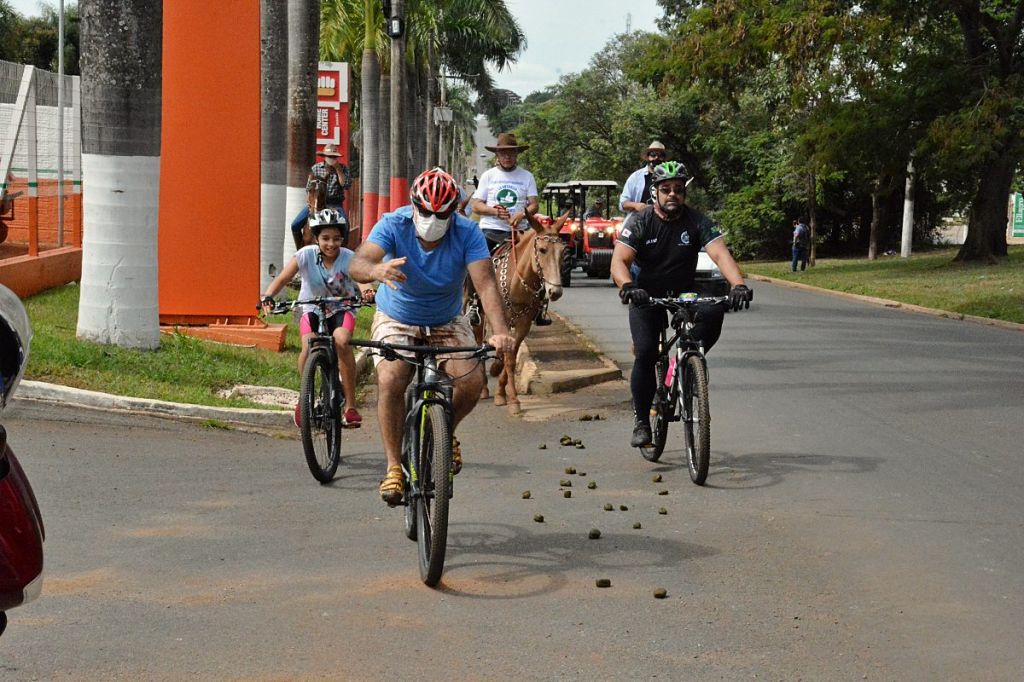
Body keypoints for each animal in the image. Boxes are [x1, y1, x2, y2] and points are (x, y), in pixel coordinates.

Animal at [473, 223, 569, 411]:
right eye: (542, 250)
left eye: (562, 251)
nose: (555, 292)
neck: (516, 283)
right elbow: (505, 355)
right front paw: (510, 397)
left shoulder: (523, 325)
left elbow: (510, 358)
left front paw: (505, 395)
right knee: (479, 339)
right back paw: (484, 389)